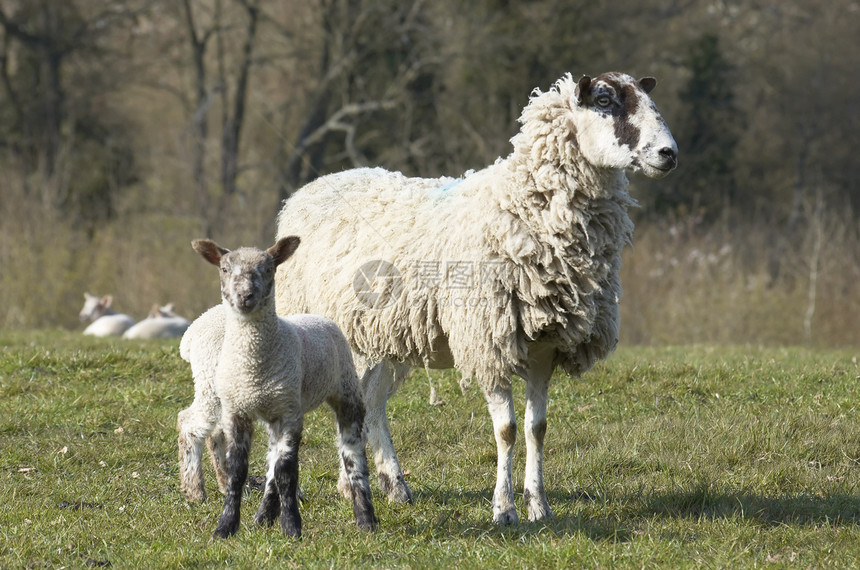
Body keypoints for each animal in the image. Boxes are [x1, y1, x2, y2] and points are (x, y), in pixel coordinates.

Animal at [175, 233, 376, 536]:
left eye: (269, 268)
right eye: (224, 268)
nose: (245, 296)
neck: (255, 367)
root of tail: (190, 333)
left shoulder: (287, 410)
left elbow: (286, 471)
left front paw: (291, 526)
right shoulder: (238, 408)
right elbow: (240, 469)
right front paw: (226, 527)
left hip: (344, 390)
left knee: (350, 453)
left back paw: (364, 518)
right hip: (218, 386)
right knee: (196, 425)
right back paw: (220, 499)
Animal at [276, 72, 680, 524]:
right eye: (606, 101)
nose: (669, 154)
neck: (524, 208)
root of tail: (307, 191)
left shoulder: (544, 347)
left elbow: (537, 428)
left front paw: (539, 505)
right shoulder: (489, 341)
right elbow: (506, 430)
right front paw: (504, 509)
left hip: (381, 341)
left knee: (369, 404)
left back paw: (387, 485)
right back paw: (315, 488)